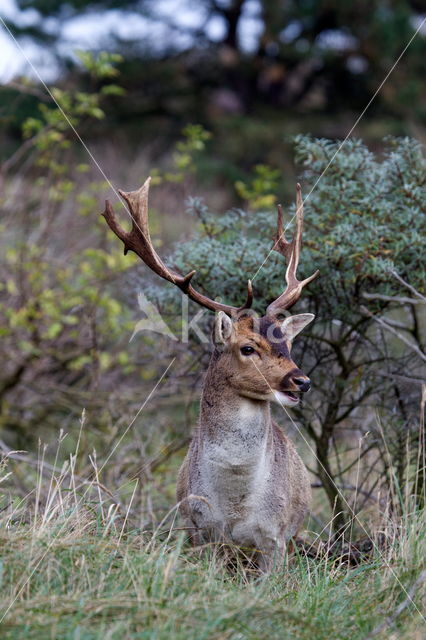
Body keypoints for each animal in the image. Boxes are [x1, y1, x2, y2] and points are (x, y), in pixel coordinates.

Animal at [101, 179, 318, 568]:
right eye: (247, 348)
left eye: (288, 345)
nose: (302, 381)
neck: (234, 504)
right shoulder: (201, 531)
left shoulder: (275, 538)